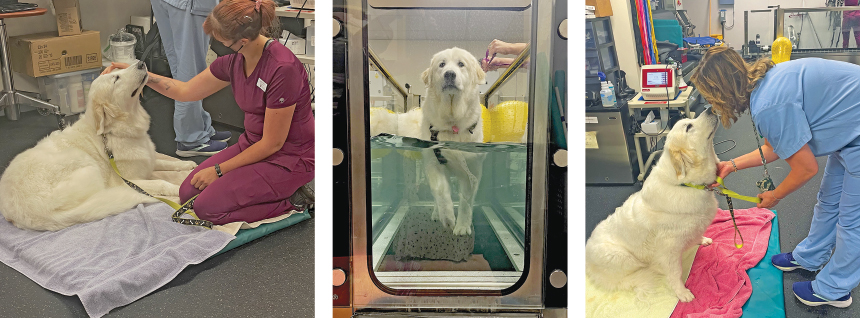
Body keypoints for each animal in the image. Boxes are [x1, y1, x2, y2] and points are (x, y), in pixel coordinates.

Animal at [0, 61, 197, 231]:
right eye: (116, 78)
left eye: (118, 71)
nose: (141, 63)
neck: (116, 131)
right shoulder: (130, 180)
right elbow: (161, 182)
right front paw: (178, 190)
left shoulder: (148, 159)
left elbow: (166, 162)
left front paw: (187, 165)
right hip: (84, 163)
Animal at [588, 110, 724, 304]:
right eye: (689, 127)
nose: (710, 109)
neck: (684, 184)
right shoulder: (669, 249)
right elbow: (675, 272)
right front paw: (681, 292)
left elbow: (695, 234)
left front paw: (701, 239)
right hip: (623, 257)